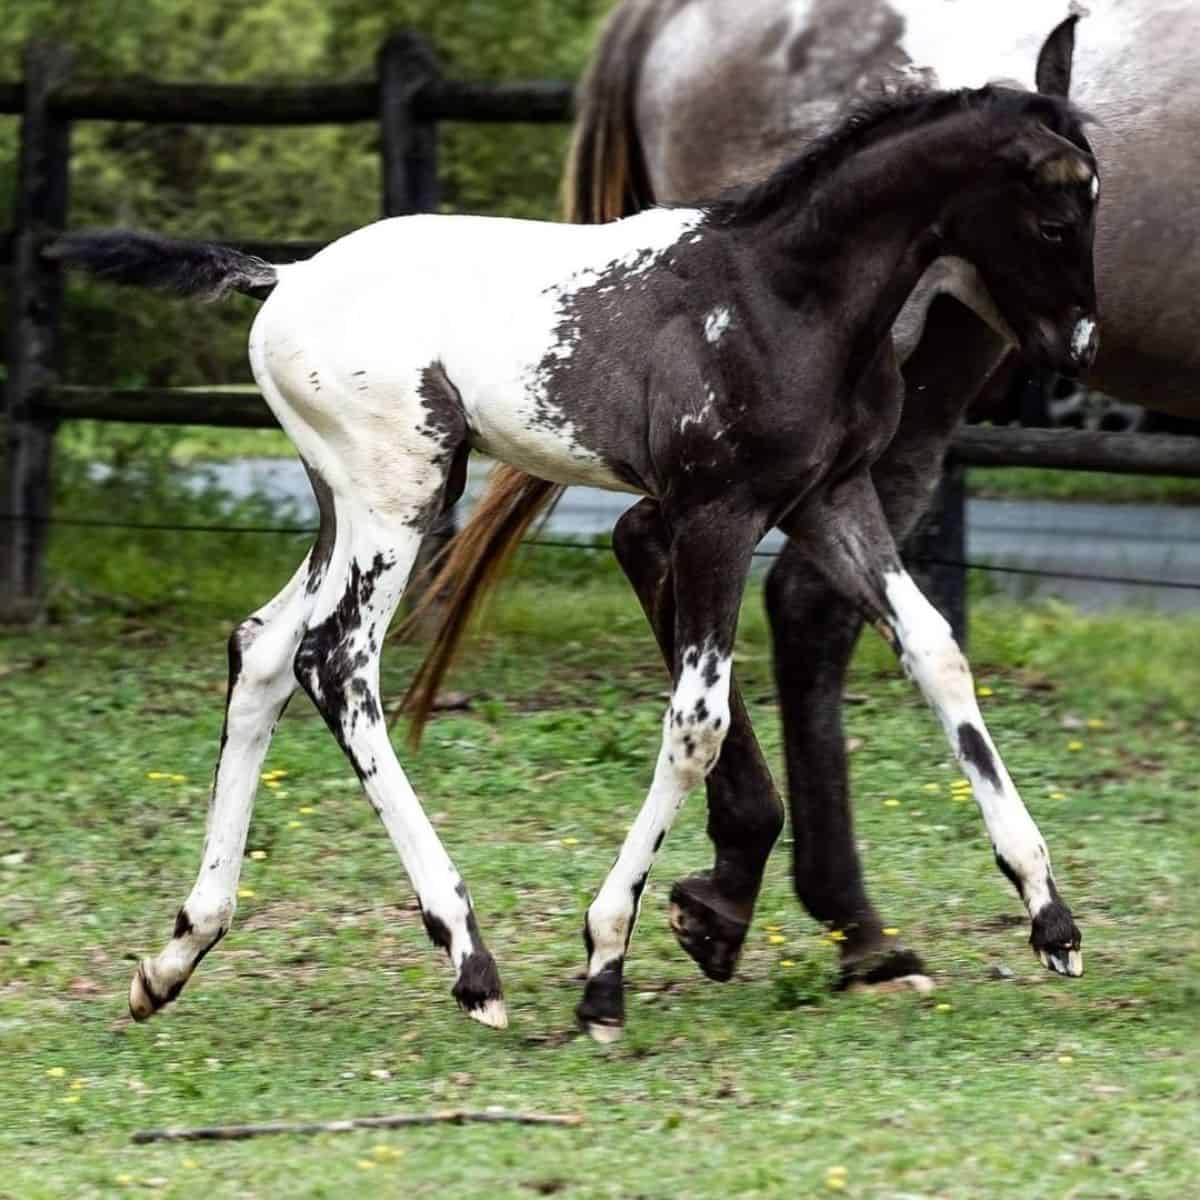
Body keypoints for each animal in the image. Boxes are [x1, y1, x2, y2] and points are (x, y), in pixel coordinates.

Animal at [417, 7, 1156, 993]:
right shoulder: (720, 511)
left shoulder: (833, 498)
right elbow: (695, 712)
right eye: (1053, 219)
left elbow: (934, 654)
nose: (1077, 349)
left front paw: (1051, 915)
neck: (794, 303)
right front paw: (617, 940)